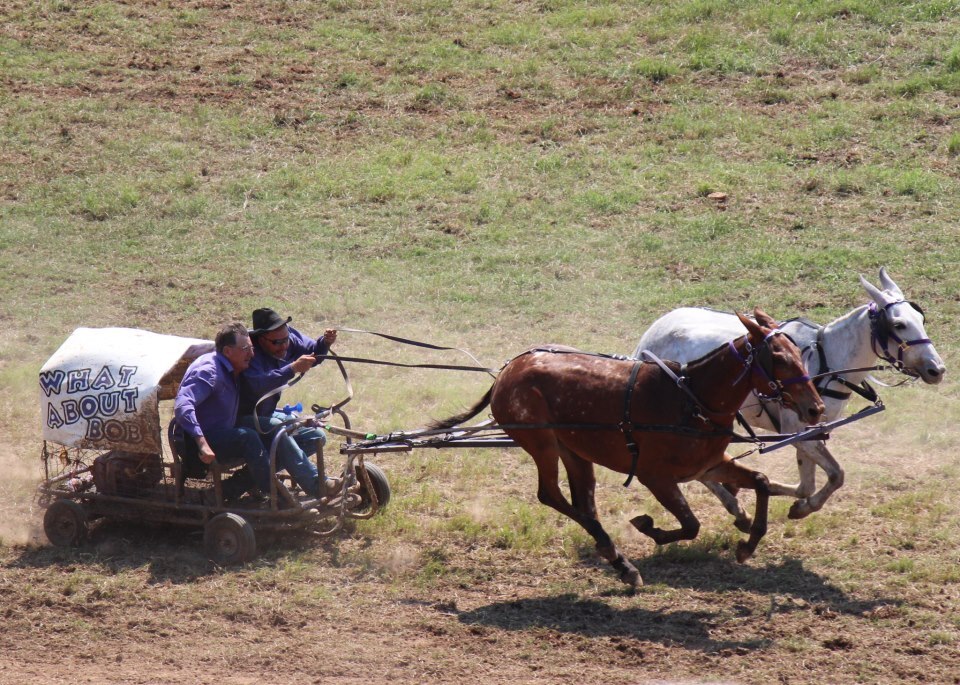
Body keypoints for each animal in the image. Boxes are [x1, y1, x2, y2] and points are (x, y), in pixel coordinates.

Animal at [432, 308, 820, 584]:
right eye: (779, 359)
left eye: (798, 352)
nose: (815, 408)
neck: (692, 399)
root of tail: (508, 370)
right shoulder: (655, 476)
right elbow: (690, 524)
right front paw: (648, 526)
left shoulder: (709, 464)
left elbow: (761, 482)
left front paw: (748, 544)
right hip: (541, 443)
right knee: (551, 495)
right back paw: (616, 555)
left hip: (573, 450)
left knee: (583, 502)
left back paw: (618, 560)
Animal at [636, 270, 944, 528]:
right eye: (899, 324)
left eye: (921, 319)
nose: (937, 369)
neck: (827, 359)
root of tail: (650, 335)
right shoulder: (795, 429)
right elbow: (836, 474)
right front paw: (796, 502)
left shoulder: (813, 430)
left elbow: (808, 484)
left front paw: (793, 501)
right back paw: (735, 507)